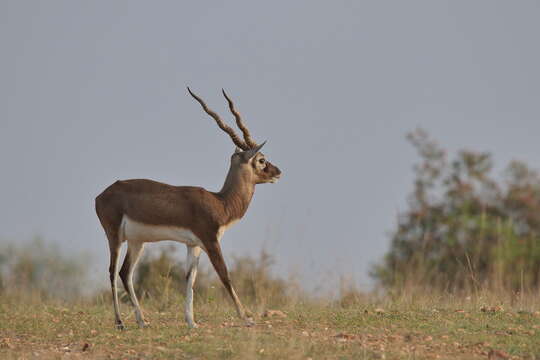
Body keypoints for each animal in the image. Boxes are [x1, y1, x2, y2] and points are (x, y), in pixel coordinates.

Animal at [95, 88, 282, 330]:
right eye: (261, 160)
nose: (278, 172)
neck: (221, 202)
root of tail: (101, 195)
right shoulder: (211, 241)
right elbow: (225, 275)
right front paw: (246, 318)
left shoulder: (193, 245)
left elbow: (189, 278)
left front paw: (192, 322)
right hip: (115, 237)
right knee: (111, 271)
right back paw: (120, 322)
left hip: (137, 241)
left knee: (125, 272)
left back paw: (142, 321)